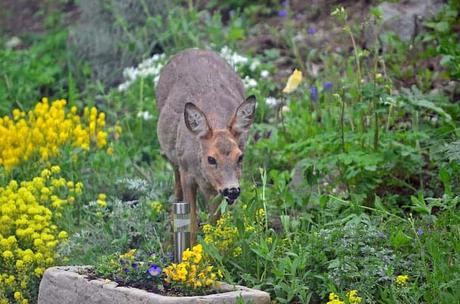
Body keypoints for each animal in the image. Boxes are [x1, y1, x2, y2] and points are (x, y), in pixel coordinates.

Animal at [155, 49, 255, 245]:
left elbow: (215, 222)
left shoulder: (215, 188)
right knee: (175, 178)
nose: (232, 190)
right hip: (175, 157)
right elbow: (192, 222)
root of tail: (192, 49)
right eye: (211, 159)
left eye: (240, 156)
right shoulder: (188, 174)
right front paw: (190, 249)